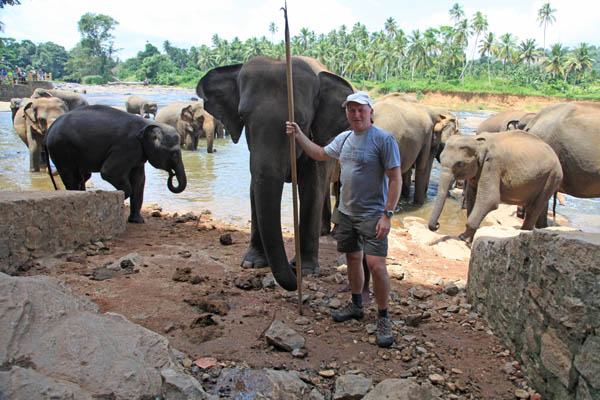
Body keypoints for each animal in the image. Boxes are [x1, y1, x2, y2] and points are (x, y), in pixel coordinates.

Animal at [45, 104, 186, 223]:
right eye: (174, 154)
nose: (171, 174)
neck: (148, 124)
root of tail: (50, 128)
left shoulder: (138, 154)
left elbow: (139, 180)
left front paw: (137, 221)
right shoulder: (127, 146)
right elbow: (109, 172)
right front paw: (120, 196)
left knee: (82, 176)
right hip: (60, 149)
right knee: (70, 176)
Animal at [197, 55, 354, 290]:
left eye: (300, 120)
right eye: (243, 116)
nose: (292, 269)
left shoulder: (318, 137)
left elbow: (311, 189)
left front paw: (306, 269)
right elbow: (256, 187)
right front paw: (252, 263)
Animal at [426, 131, 564, 242]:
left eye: (460, 164)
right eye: (440, 158)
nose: (437, 224)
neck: (477, 141)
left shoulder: (492, 166)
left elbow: (489, 199)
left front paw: (463, 238)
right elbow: (472, 197)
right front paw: (468, 238)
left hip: (552, 176)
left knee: (533, 208)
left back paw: (523, 233)